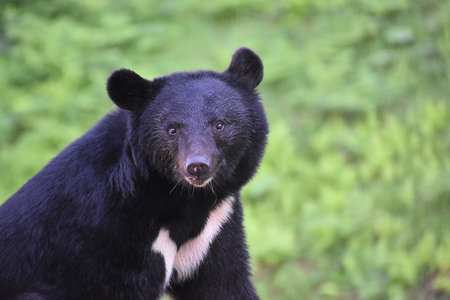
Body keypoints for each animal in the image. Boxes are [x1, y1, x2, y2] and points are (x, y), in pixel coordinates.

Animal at [0, 48, 268, 298]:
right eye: (172, 129)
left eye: (220, 124)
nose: (197, 165)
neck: (180, 198)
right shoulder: (106, 236)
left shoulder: (214, 228)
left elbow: (224, 283)